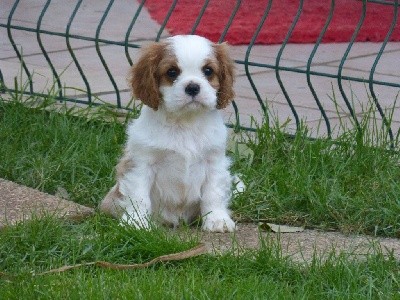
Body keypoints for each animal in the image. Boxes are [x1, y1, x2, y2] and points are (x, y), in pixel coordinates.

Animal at [100, 35, 236, 232]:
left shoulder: (214, 162)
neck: (185, 122)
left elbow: (214, 194)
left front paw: (217, 220)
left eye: (208, 71)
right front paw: (136, 222)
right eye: (172, 72)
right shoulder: (141, 163)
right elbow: (139, 196)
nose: (193, 87)